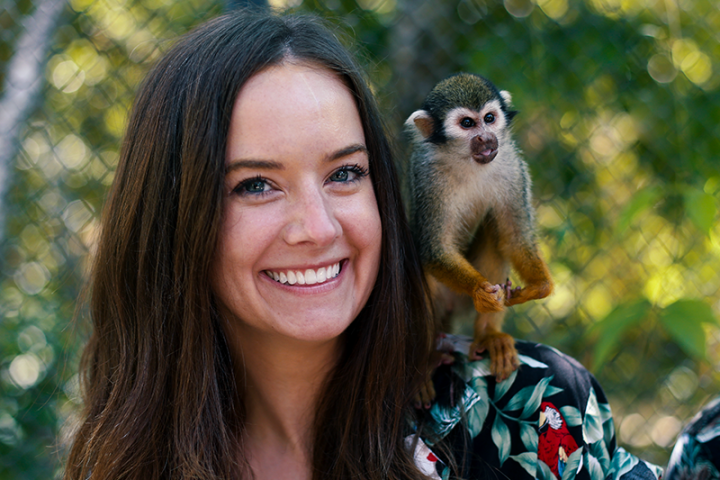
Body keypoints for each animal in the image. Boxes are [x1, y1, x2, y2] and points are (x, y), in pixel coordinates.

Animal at [405, 73, 553, 389]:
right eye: (467, 123)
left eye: (489, 118)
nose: (486, 137)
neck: (468, 163)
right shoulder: (426, 176)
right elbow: (433, 250)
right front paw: (480, 291)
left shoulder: (512, 167)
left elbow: (513, 238)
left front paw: (539, 286)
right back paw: (427, 355)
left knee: (493, 233)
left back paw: (488, 336)